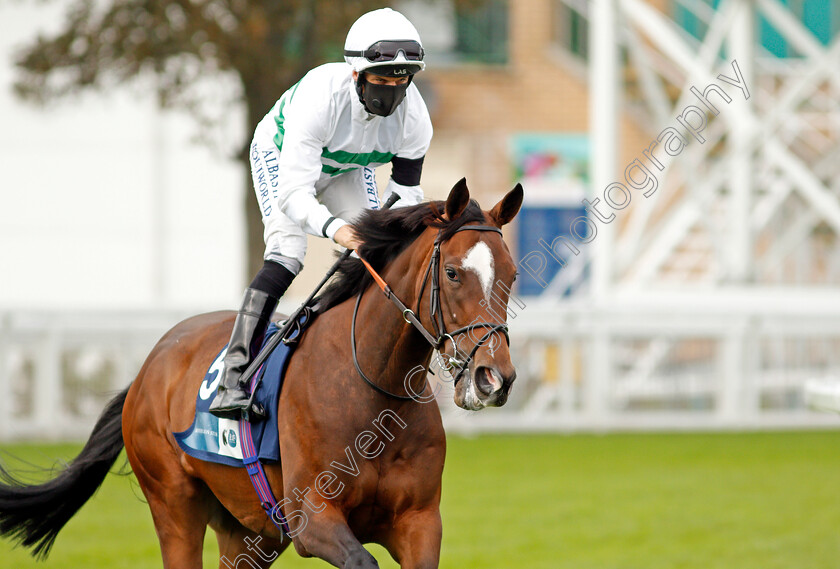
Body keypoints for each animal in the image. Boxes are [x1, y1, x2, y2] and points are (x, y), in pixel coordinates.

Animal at [0, 179, 520, 568]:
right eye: (452, 273)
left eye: (512, 273)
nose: (493, 378)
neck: (372, 388)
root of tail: (149, 367)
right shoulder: (314, 517)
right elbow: (361, 558)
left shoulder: (419, 521)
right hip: (174, 505)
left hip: (249, 530)